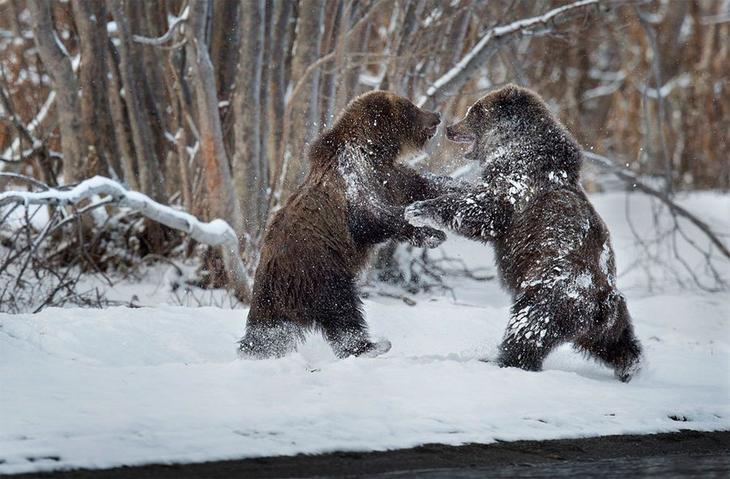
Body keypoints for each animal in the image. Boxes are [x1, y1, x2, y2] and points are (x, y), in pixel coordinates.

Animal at [239, 90, 456, 360]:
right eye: (411, 107)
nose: (436, 115)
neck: (375, 149)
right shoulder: (355, 178)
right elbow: (374, 216)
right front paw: (433, 234)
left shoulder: (390, 176)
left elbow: (419, 184)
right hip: (321, 270)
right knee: (343, 310)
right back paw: (370, 346)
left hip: (273, 300)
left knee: (268, 331)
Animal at [404, 83, 644, 382]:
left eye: (475, 110)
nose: (450, 127)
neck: (516, 150)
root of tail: (601, 303)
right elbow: (468, 190)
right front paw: (431, 181)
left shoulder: (518, 187)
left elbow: (484, 211)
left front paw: (419, 209)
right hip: (606, 319)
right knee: (617, 341)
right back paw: (630, 367)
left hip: (551, 290)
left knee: (527, 327)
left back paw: (502, 362)